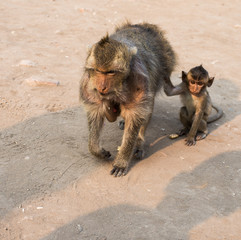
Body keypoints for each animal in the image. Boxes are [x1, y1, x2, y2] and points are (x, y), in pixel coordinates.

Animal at [80, 22, 176, 176]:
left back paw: (139, 142)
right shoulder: (88, 84)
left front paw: (122, 160)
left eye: (111, 72)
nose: (102, 87)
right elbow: (95, 112)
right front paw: (97, 150)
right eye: (98, 71)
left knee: (146, 109)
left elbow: (135, 115)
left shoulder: (139, 81)